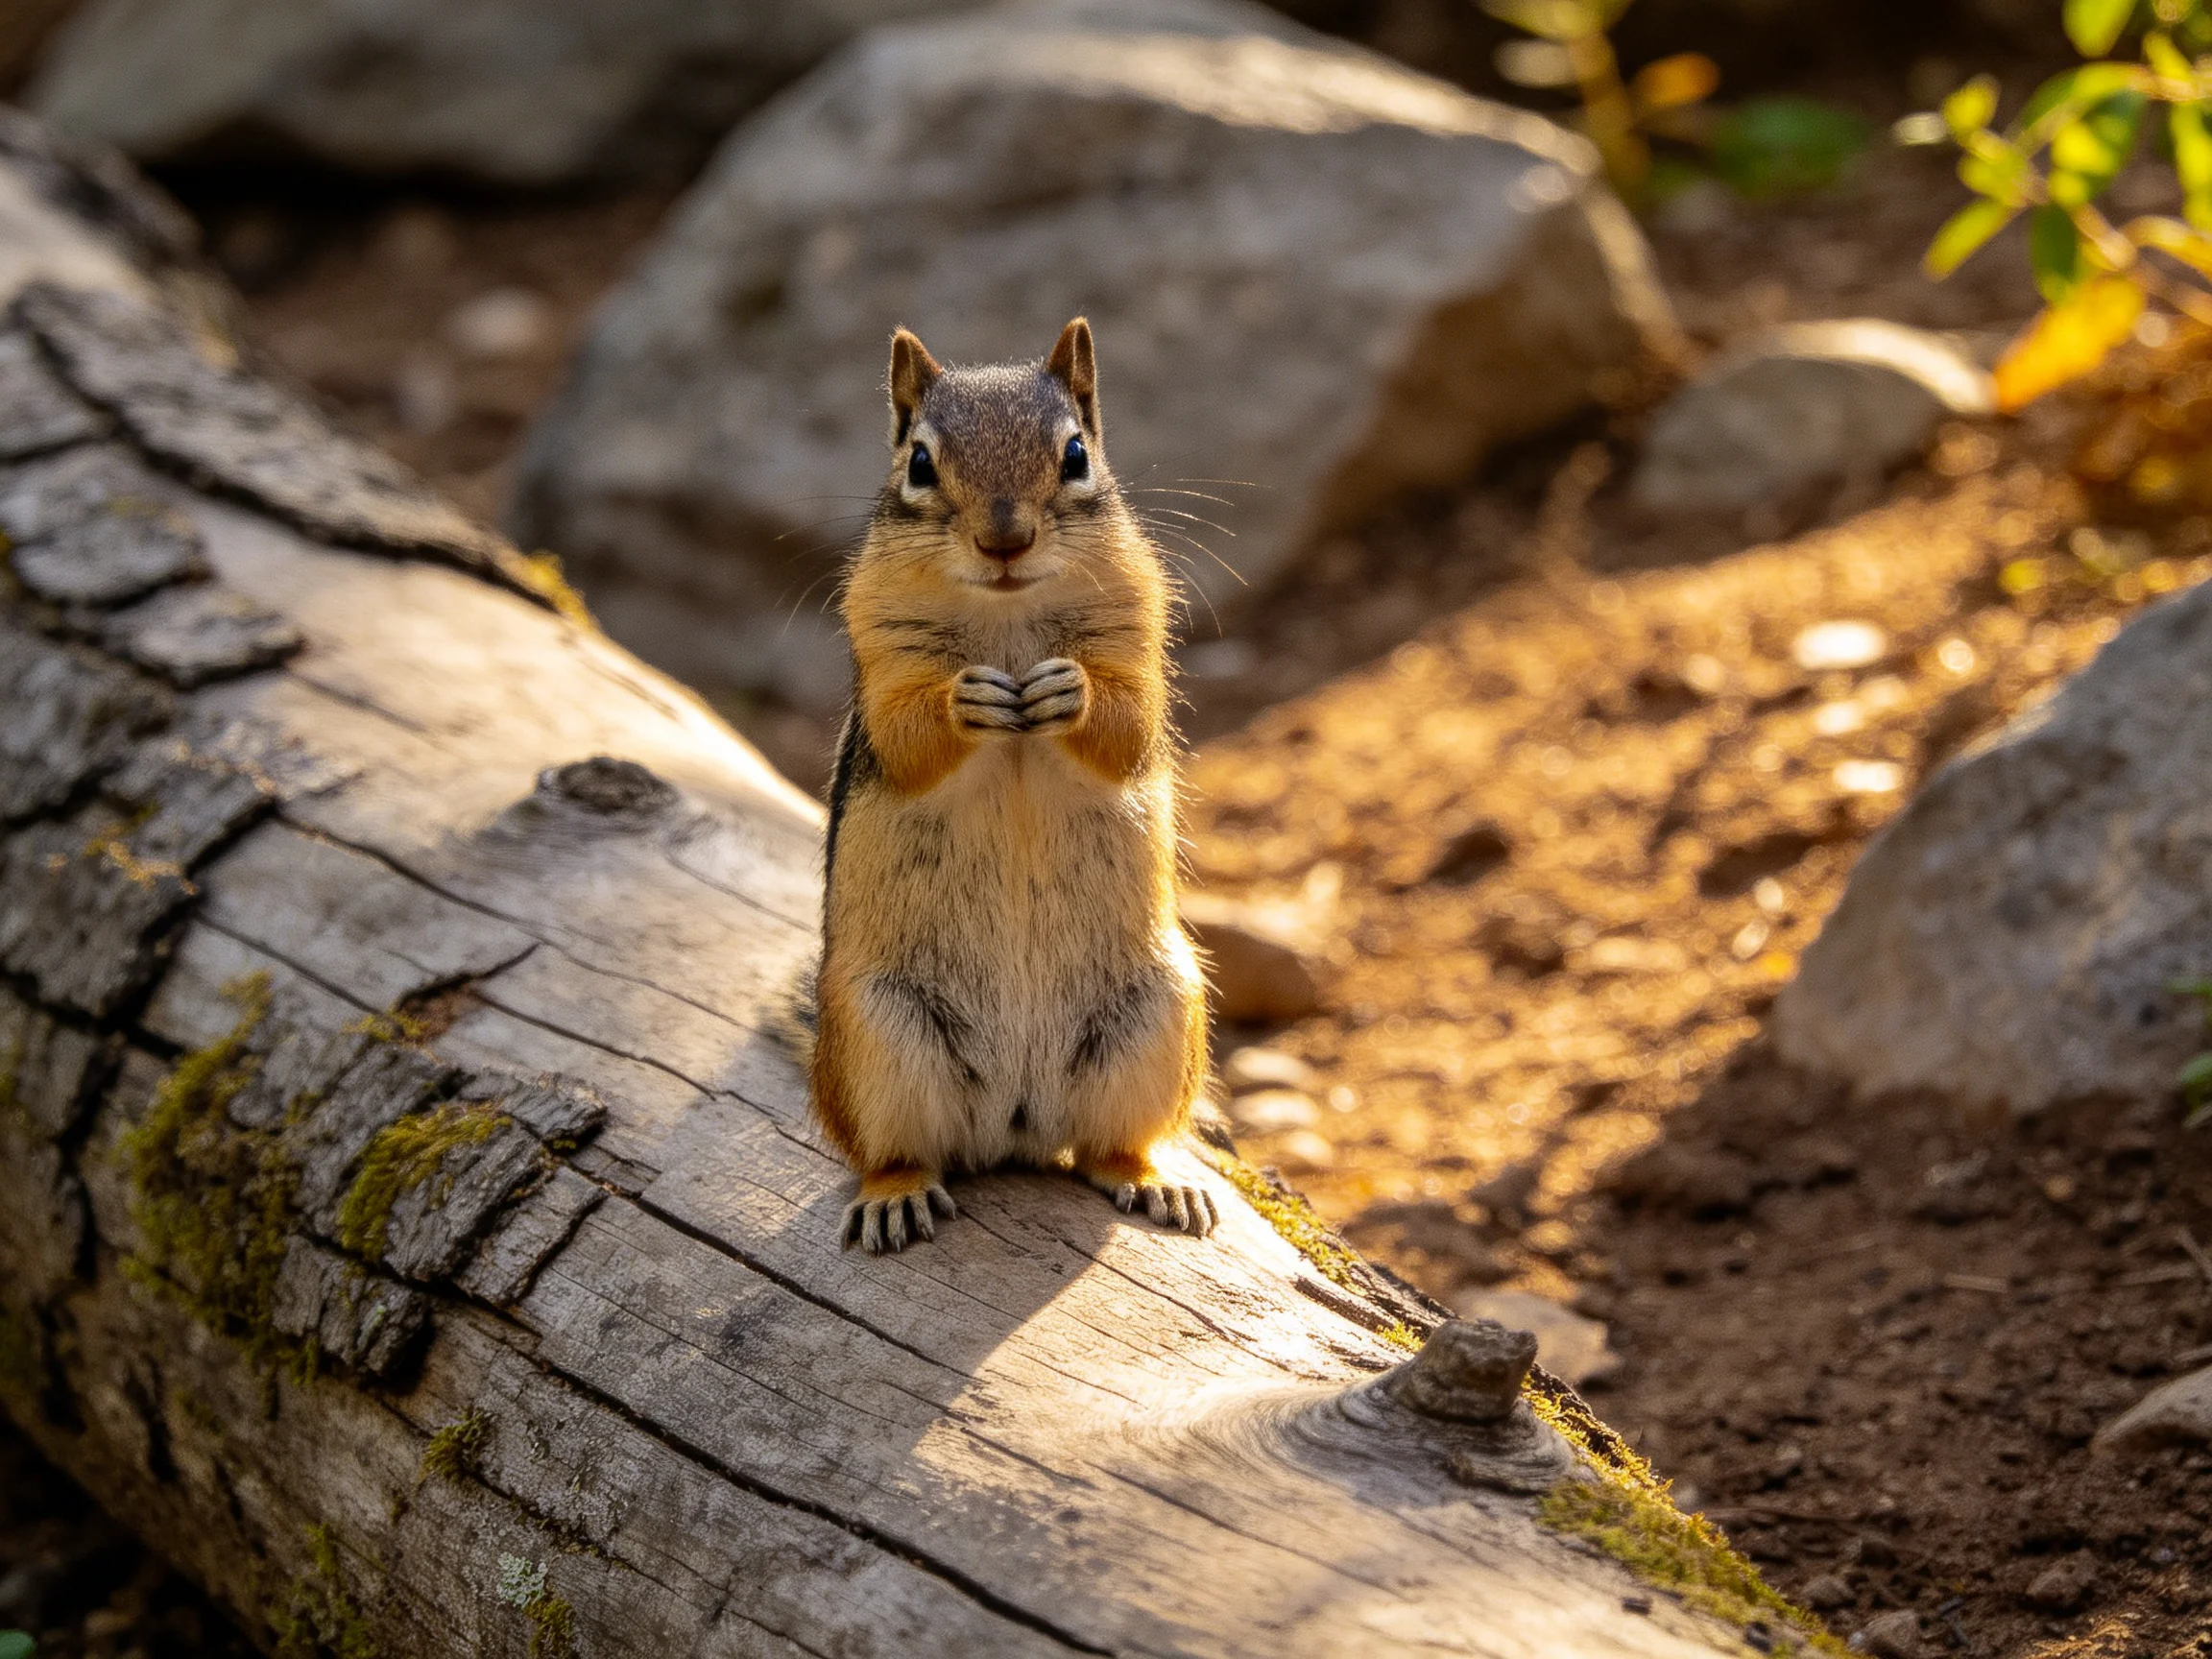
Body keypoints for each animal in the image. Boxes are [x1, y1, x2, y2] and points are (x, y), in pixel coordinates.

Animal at [810, 317, 1219, 1254]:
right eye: (920, 464)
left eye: (1075, 454)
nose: (1004, 539)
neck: (1007, 617)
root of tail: (1015, 1120)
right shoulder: (881, 656)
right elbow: (908, 737)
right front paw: (967, 702)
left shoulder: (1140, 634)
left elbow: (1129, 728)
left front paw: (1072, 693)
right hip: (877, 1035)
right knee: (898, 1151)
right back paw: (895, 1194)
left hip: (1159, 1012)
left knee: (1104, 1148)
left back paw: (1155, 1181)